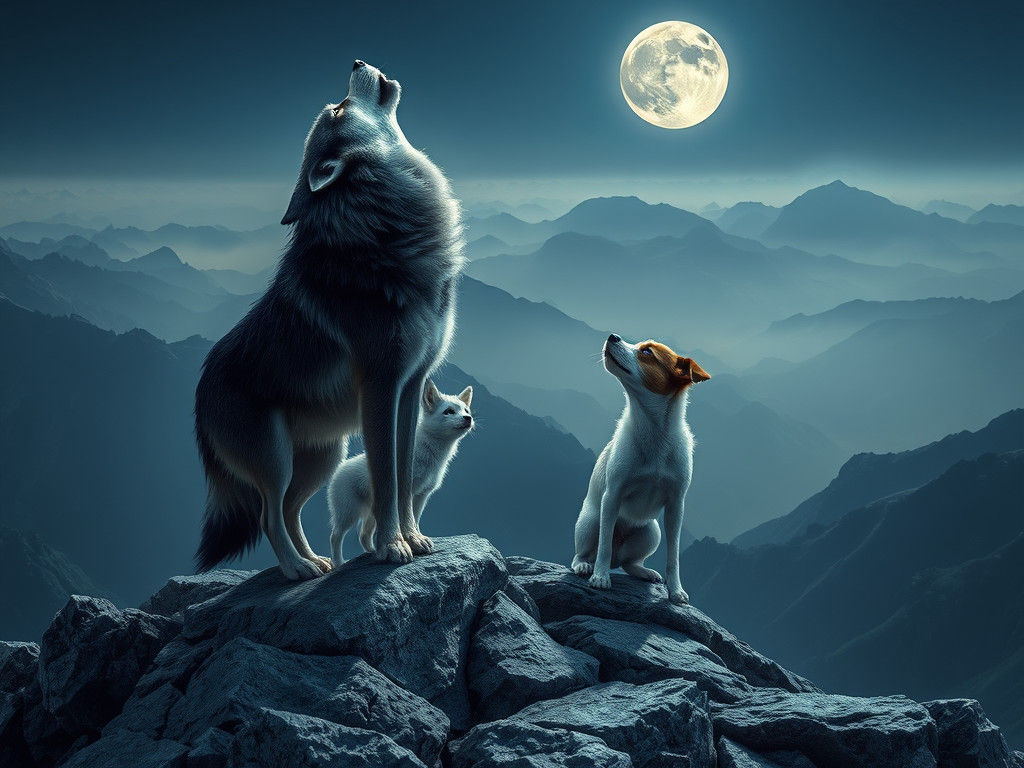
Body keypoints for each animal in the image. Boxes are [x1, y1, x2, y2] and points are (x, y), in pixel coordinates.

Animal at [328, 380, 473, 566]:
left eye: (466, 410)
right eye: (449, 411)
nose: (468, 419)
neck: (430, 451)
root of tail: (339, 468)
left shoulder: (422, 495)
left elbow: (414, 521)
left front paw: (416, 539)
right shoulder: (408, 494)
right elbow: (408, 519)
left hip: (374, 513)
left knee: (364, 535)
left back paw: (375, 552)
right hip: (349, 512)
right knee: (335, 536)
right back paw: (339, 563)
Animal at [571, 334, 710, 604]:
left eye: (647, 352)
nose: (612, 335)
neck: (654, 433)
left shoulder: (675, 506)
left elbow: (673, 556)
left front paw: (675, 590)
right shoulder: (611, 496)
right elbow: (604, 544)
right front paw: (601, 577)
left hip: (651, 532)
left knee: (628, 563)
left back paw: (644, 572)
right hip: (590, 522)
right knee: (587, 552)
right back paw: (585, 566)